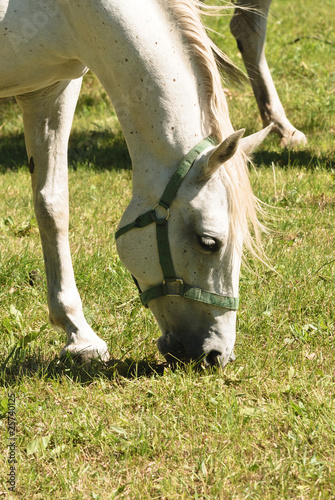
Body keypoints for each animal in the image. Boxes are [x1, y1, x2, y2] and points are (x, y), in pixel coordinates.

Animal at [0, 0, 272, 368]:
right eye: (208, 242)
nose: (217, 355)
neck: (67, 10)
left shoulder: (51, 89)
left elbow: (52, 205)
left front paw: (80, 336)